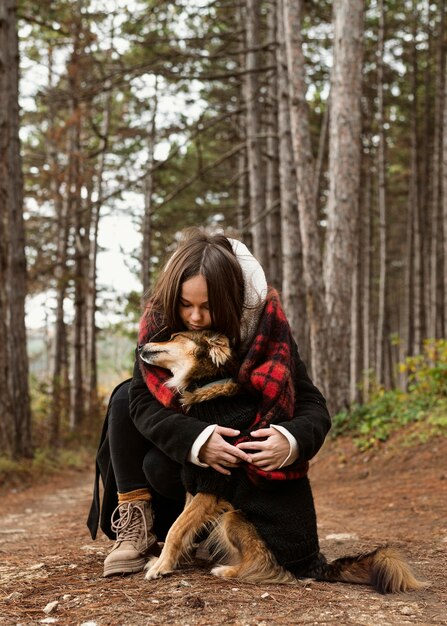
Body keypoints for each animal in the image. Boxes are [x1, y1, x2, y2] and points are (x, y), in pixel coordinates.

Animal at [139, 330, 428, 592]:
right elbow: (183, 526)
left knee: (267, 566)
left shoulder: (213, 484)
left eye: (174, 336)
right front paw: (169, 561)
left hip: (235, 517)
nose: (140, 345)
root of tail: (314, 564)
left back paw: (228, 570)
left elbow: (176, 528)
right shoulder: (196, 483)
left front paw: (160, 567)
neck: (209, 385)